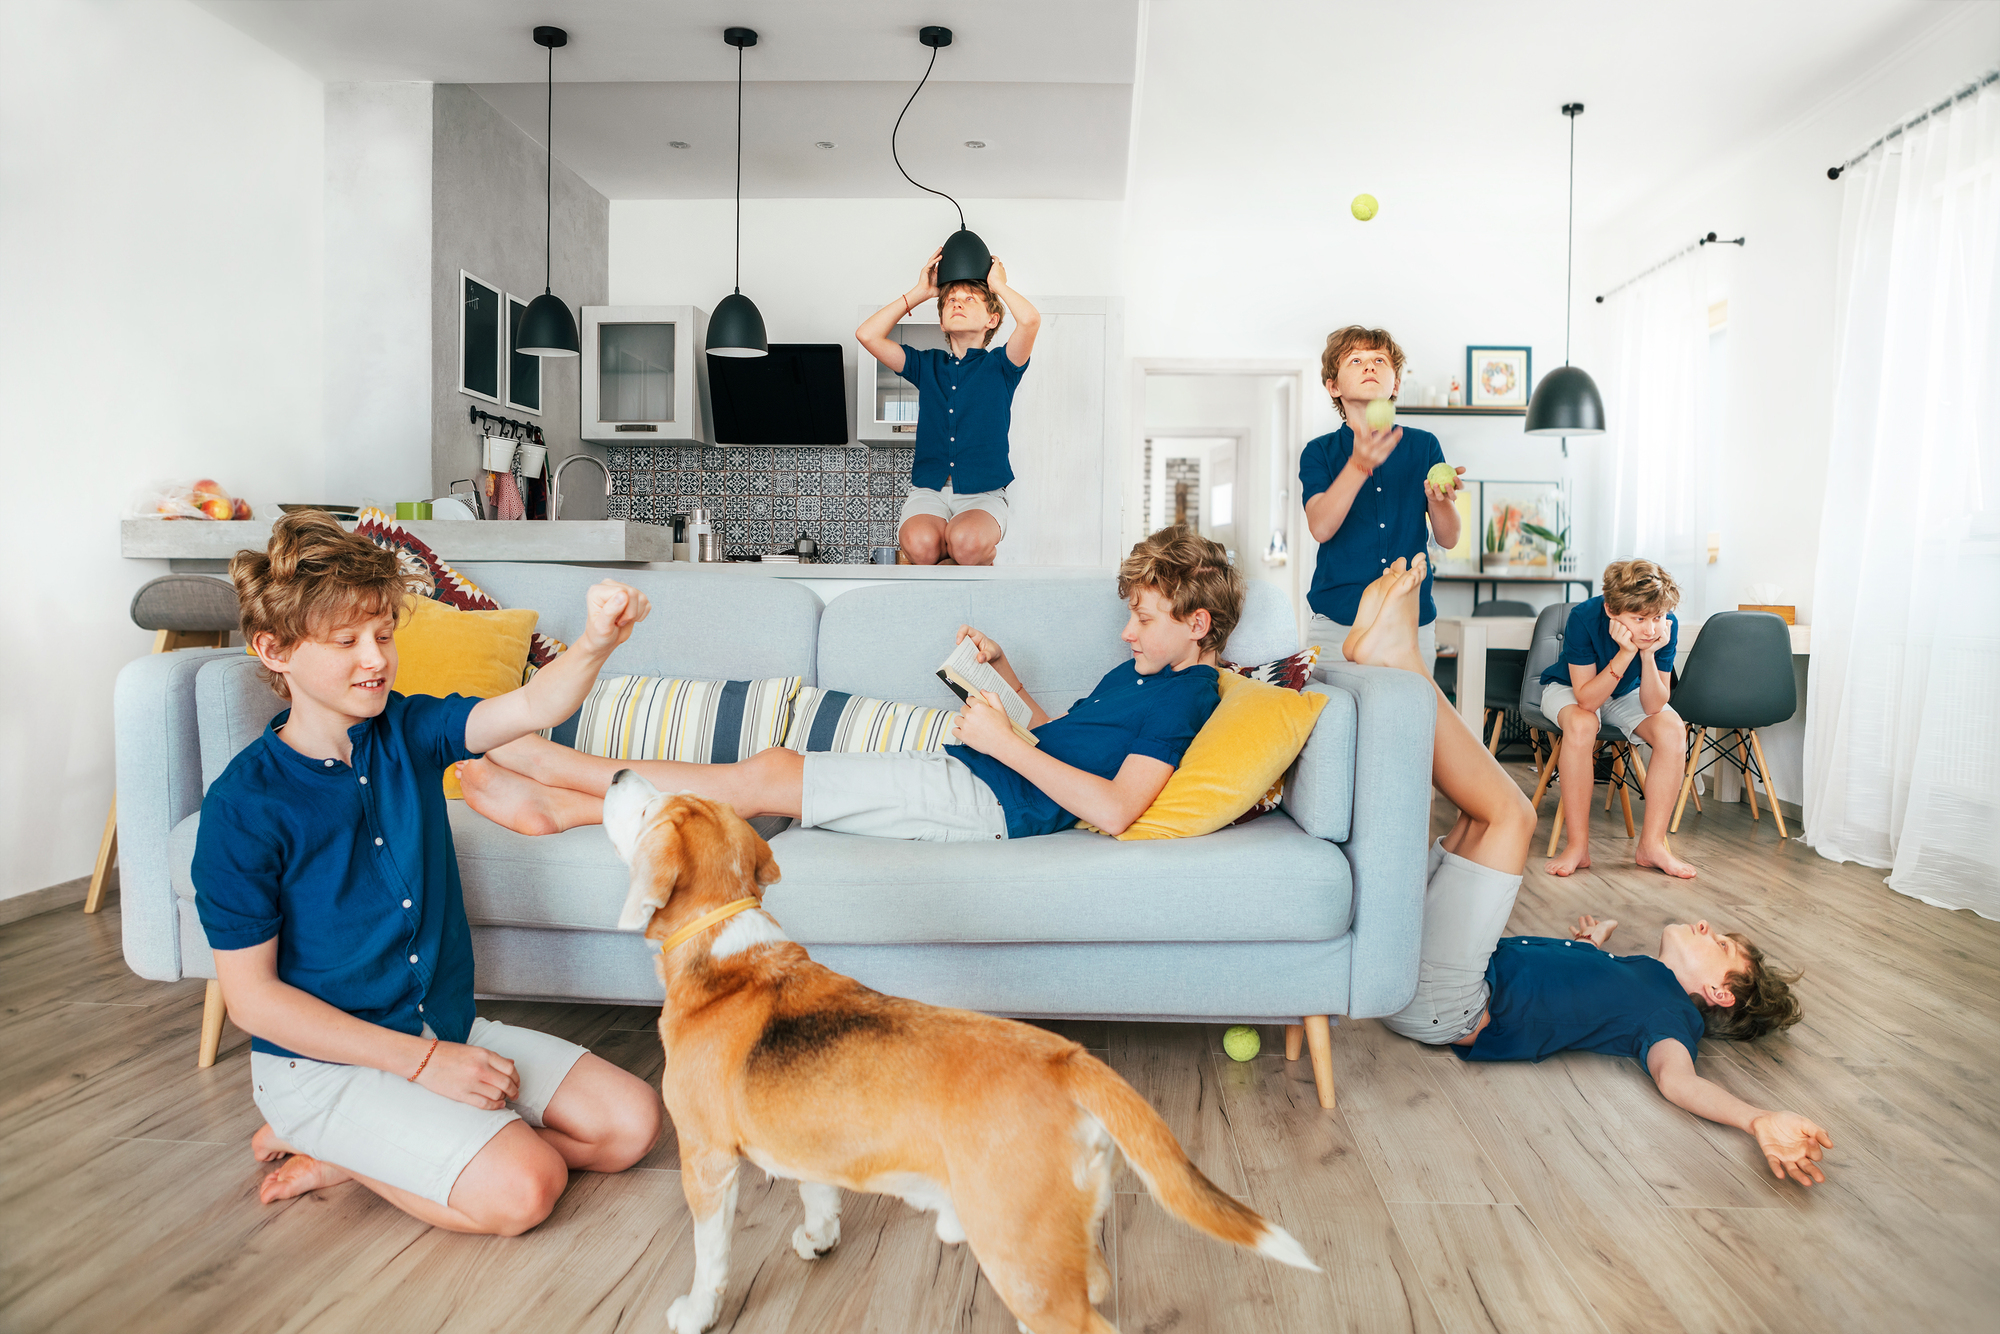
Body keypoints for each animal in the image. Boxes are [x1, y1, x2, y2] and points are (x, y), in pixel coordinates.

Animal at [608, 772, 1320, 1334]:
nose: (618, 773)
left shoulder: (705, 1159)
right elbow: (819, 1195)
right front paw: (818, 1238)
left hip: (1021, 1259)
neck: (727, 942)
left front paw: (697, 1311)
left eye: (648, 812)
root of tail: (1068, 1060)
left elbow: (711, 1256)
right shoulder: (811, 1143)